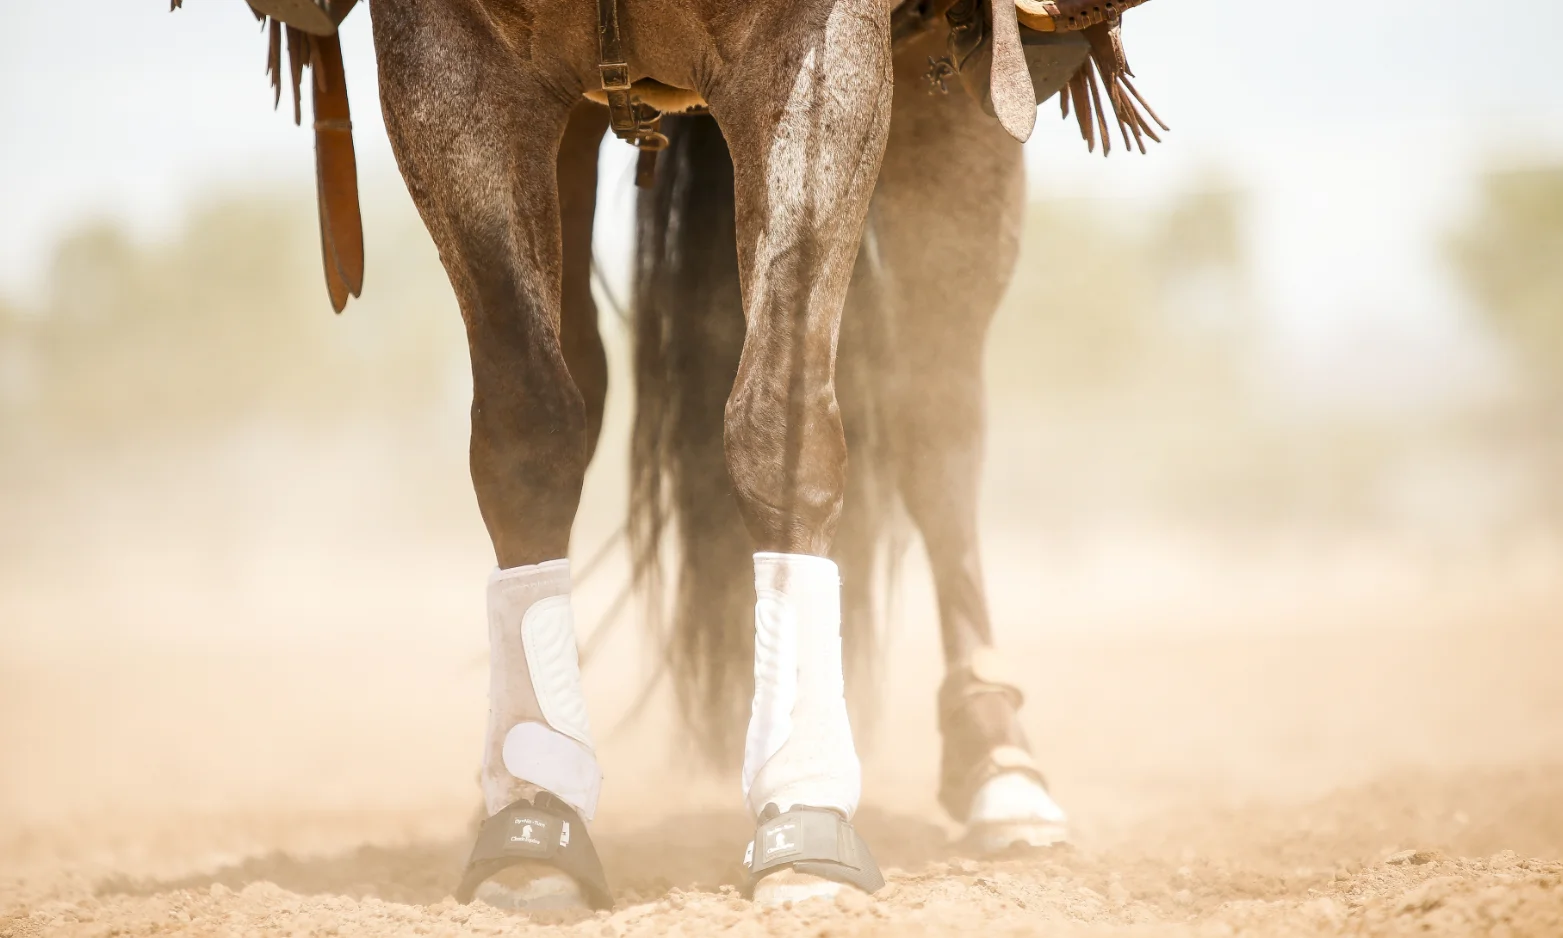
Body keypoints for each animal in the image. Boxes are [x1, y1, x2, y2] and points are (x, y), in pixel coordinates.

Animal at [181, 0, 1165, 910]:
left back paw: (1001, 766)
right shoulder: (449, 64)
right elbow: (526, 428)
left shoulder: (816, 57)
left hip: (952, 102)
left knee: (936, 412)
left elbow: (782, 423)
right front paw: (536, 816)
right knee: (579, 368)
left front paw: (803, 815)